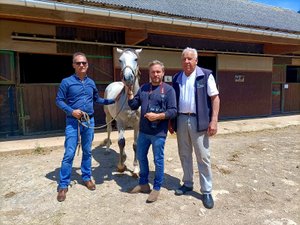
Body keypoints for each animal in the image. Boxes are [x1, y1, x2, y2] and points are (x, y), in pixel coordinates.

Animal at [104, 48, 142, 177]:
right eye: (120, 60)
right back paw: (107, 149)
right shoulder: (120, 122)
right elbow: (121, 142)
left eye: (136, 59)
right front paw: (120, 166)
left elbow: (135, 144)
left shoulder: (137, 124)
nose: (128, 78)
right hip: (109, 117)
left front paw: (136, 168)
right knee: (110, 131)